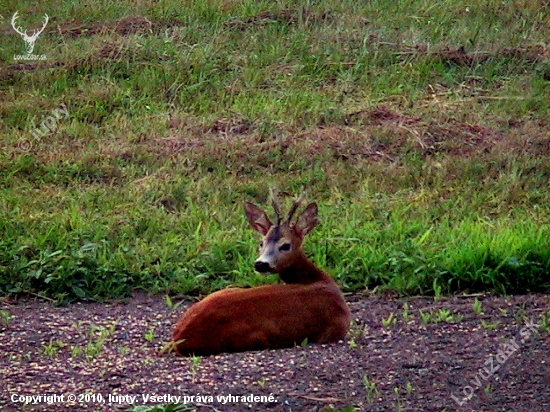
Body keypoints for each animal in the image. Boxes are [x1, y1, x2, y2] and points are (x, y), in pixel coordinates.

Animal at [172, 195, 352, 356]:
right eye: (261, 243)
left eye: (286, 245)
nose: (261, 264)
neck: (320, 281)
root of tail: (179, 339)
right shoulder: (334, 330)